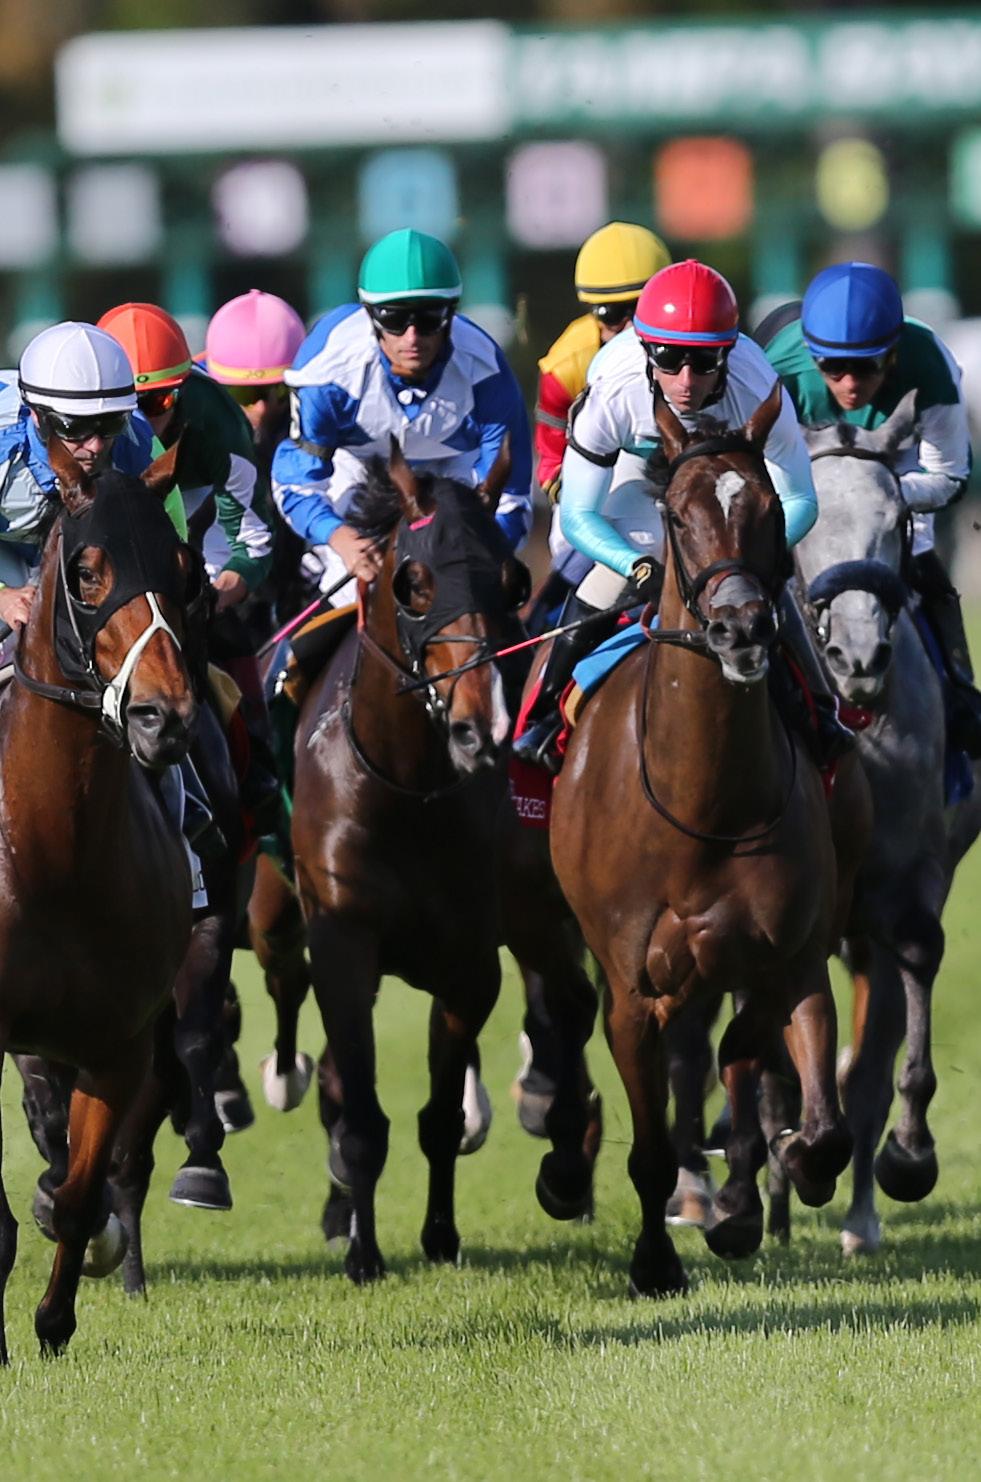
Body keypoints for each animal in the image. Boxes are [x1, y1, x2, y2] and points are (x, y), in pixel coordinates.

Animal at [291, 444, 526, 1282]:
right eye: (413, 581)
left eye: (511, 579)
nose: (480, 727)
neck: (405, 790)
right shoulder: (340, 944)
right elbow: (361, 1119)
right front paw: (364, 1253)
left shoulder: (469, 962)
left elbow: (438, 1116)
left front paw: (440, 1235)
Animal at [548, 385, 871, 1296]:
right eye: (676, 514)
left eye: (767, 508)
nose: (738, 631)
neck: (705, 804)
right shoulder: (632, 989)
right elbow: (652, 1145)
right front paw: (655, 1263)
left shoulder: (787, 956)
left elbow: (808, 1109)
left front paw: (775, 1178)